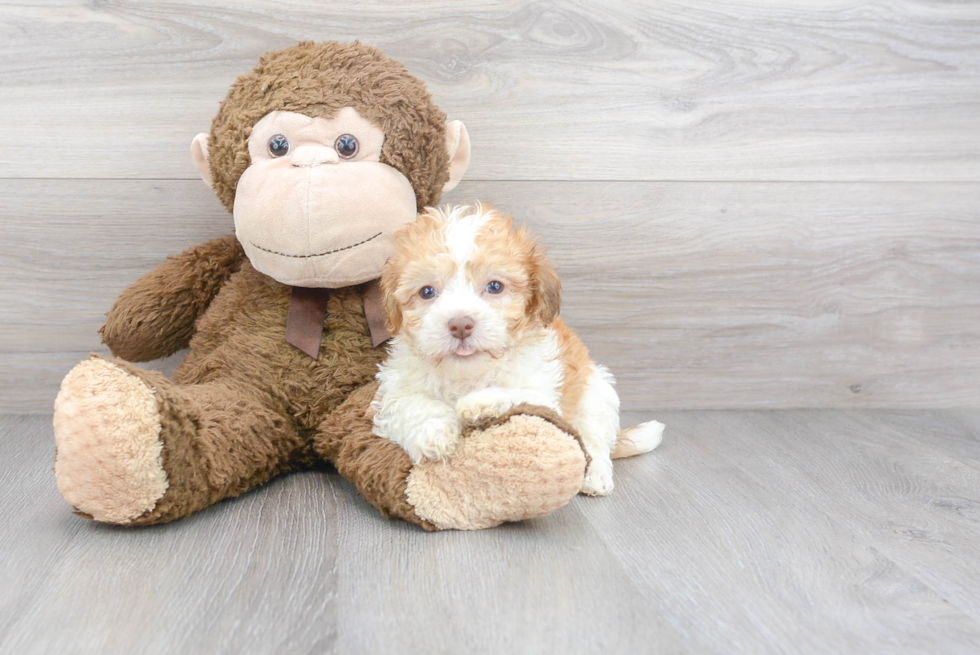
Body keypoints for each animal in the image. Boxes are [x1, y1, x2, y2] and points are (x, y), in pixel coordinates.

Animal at [372, 202, 664, 494]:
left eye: (495, 286)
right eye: (427, 292)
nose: (460, 325)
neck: (468, 373)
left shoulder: (545, 394)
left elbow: (518, 394)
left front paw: (480, 402)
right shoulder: (395, 392)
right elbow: (413, 405)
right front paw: (433, 433)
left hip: (596, 391)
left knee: (595, 440)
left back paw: (596, 476)